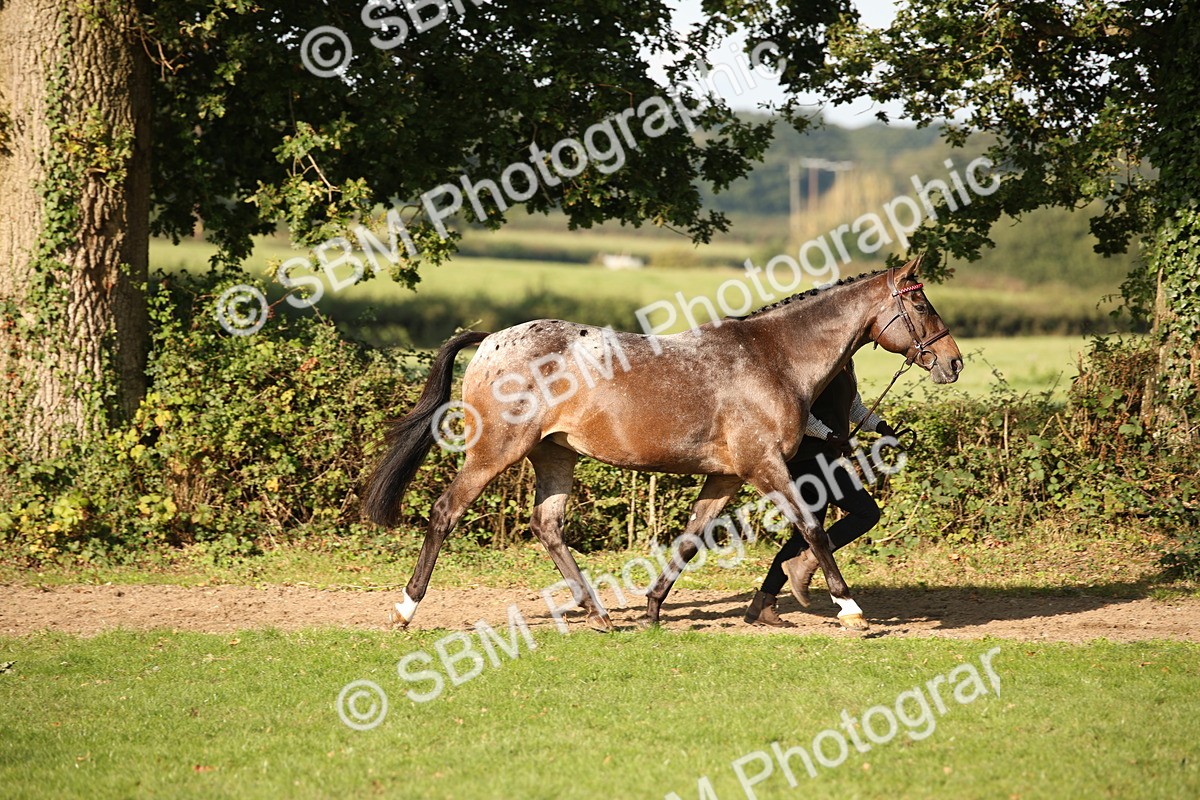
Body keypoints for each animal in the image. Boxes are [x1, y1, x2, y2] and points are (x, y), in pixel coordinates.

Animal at [363, 256, 963, 632]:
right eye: (923, 306)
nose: (952, 361)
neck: (774, 359)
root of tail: (489, 339)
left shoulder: (726, 476)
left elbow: (691, 538)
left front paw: (652, 609)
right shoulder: (767, 468)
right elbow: (812, 528)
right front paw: (850, 607)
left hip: (555, 454)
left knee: (548, 526)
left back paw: (600, 615)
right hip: (495, 452)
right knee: (445, 511)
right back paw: (404, 610)